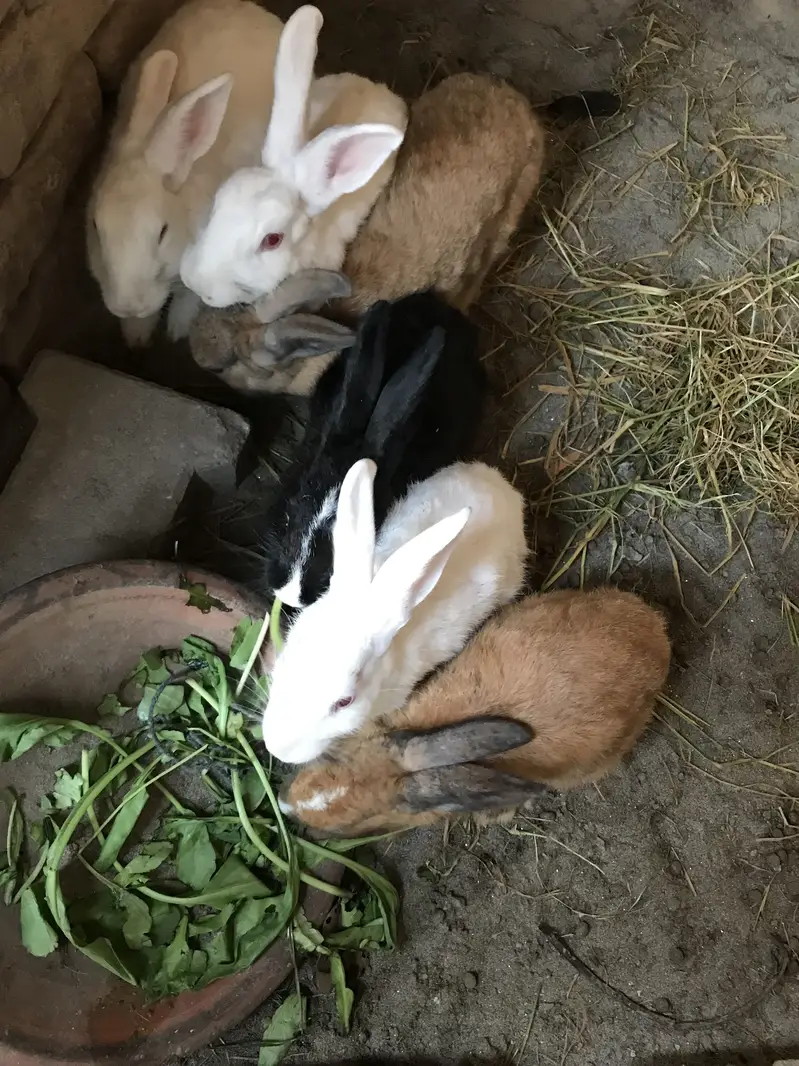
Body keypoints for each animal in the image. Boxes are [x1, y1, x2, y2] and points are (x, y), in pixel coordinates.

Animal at [87, 0, 285, 348]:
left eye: (162, 232)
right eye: (96, 228)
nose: (130, 305)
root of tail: (250, 8)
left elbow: (189, 297)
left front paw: (175, 331)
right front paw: (136, 335)